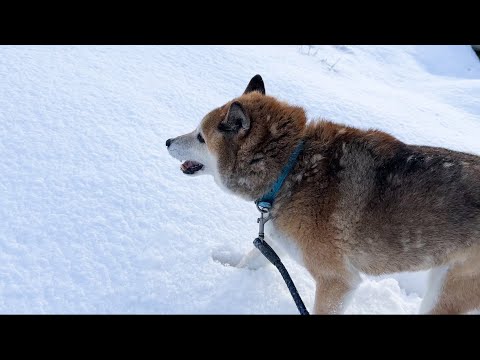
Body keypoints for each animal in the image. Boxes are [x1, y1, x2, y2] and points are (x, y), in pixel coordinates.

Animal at [168, 76, 480, 316]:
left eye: (200, 137)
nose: (168, 141)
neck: (292, 167)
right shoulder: (278, 241)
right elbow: (251, 259)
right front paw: (228, 269)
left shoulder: (337, 281)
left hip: (445, 295)